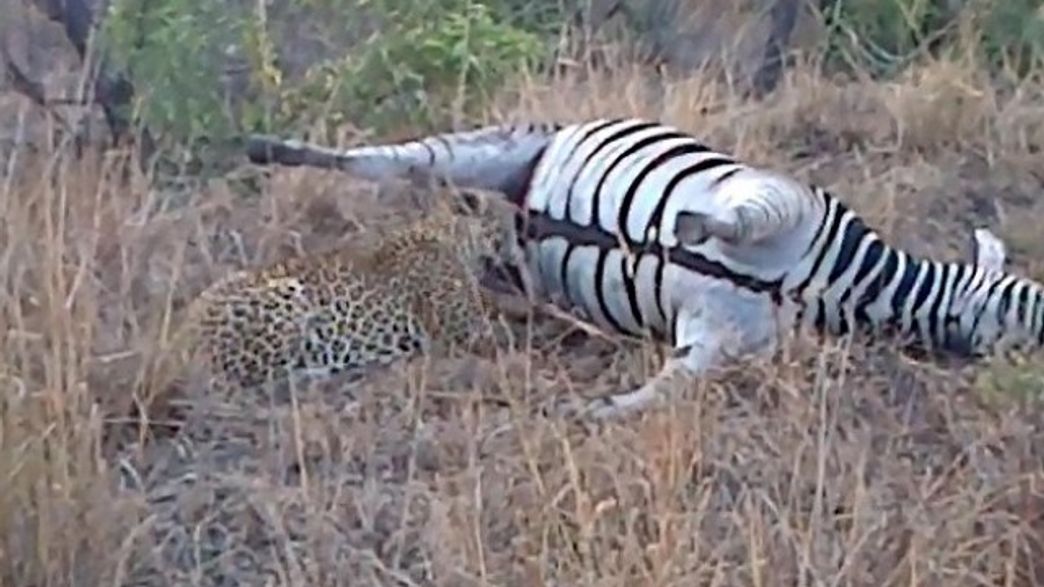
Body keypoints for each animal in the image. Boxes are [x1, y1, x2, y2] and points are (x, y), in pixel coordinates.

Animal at [245, 117, 1044, 420]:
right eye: (1029, 295)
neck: (824, 284)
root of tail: (522, 193)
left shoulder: (720, 339)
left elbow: (666, 389)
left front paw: (593, 410)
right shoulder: (778, 200)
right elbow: (733, 219)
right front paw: (686, 226)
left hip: (507, 237)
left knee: (471, 235)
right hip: (485, 145)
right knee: (385, 161)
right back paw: (264, 147)